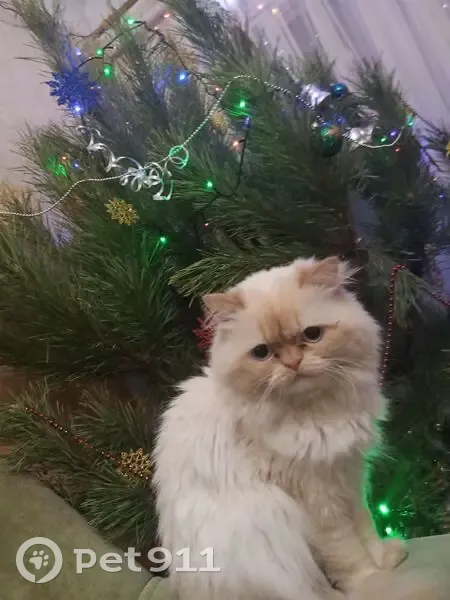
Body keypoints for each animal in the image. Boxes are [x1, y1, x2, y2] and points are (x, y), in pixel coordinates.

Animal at [153, 256, 433, 600]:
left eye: (312, 335)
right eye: (262, 352)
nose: (292, 363)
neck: (318, 412)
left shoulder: (350, 479)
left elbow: (367, 528)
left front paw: (385, 559)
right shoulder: (318, 502)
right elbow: (349, 554)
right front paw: (371, 583)